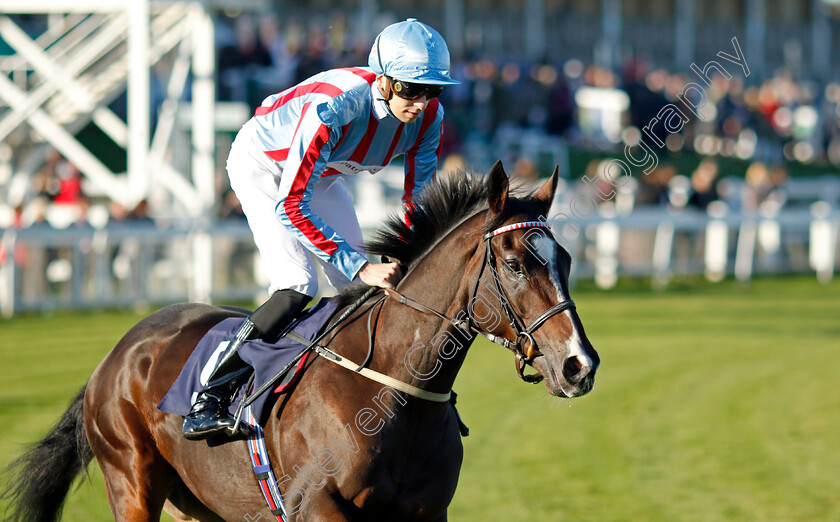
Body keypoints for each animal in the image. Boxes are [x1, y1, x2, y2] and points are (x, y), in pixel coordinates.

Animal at [3, 160, 600, 516]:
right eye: (515, 265)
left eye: (567, 260)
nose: (580, 364)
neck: (394, 389)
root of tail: (115, 355)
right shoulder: (317, 505)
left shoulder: (427, 511)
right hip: (131, 482)